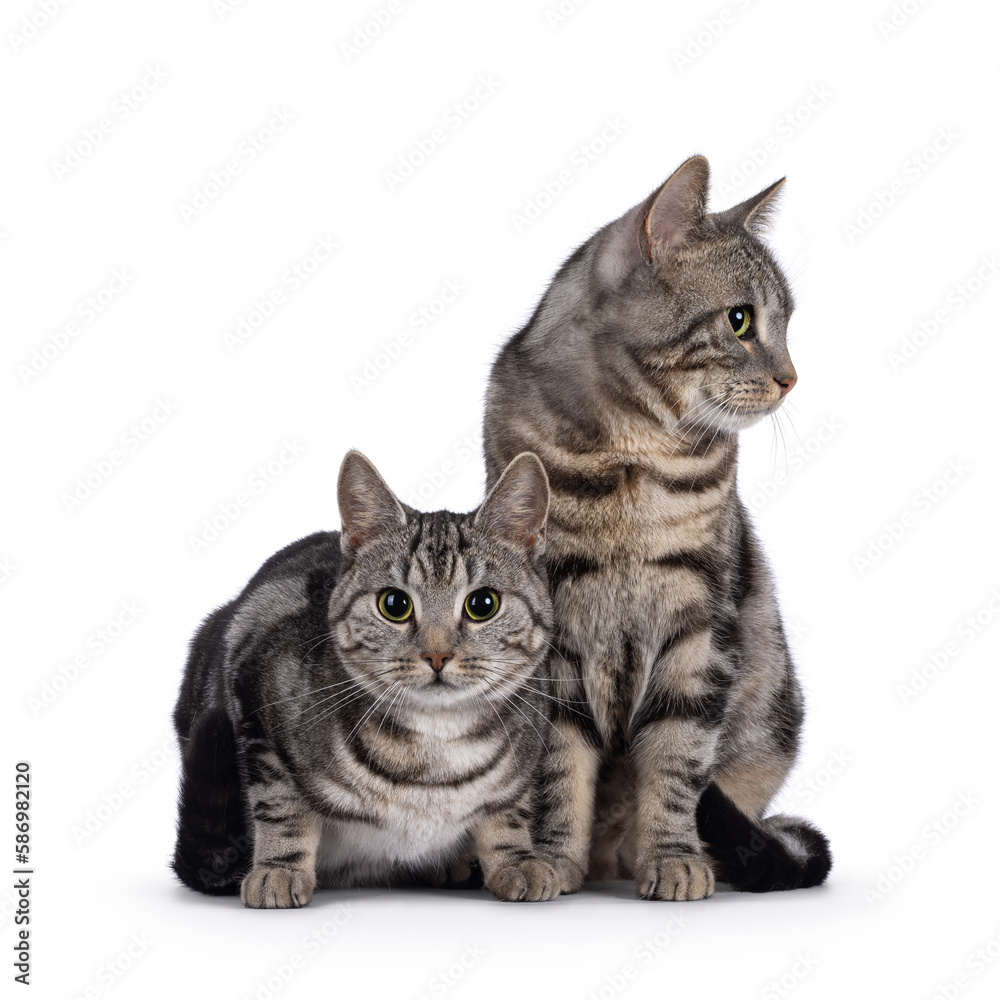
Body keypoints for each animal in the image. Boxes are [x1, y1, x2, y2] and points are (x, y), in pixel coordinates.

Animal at [174, 452, 564, 908]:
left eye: (483, 604)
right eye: (394, 604)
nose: (437, 655)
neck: (435, 752)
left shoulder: (532, 735)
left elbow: (508, 808)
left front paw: (515, 859)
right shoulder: (256, 690)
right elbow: (281, 804)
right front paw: (279, 869)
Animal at [484, 154, 836, 900]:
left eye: (787, 322)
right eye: (741, 320)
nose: (792, 378)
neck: (632, 453)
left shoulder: (700, 624)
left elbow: (677, 759)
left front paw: (673, 857)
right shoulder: (552, 630)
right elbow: (557, 768)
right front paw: (548, 858)